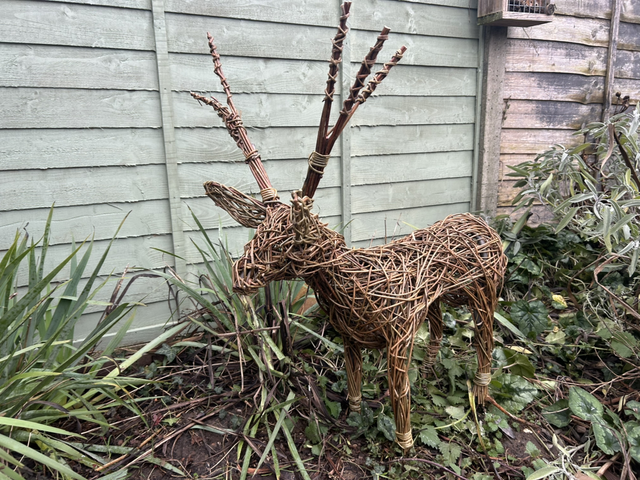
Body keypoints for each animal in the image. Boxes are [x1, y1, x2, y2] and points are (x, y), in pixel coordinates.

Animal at [191, 3, 508, 451]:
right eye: (258, 232)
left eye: (291, 242)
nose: (239, 276)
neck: (349, 282)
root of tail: (480, 224)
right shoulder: (349, 336)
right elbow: (355, 377)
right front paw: (353, 415)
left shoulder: (398, 337)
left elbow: (399, 393)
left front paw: (404, 444)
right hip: (438, 301)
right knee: (439, 326)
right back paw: (432, 369)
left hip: (486, 294)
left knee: (485, 341)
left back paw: (480, 394)